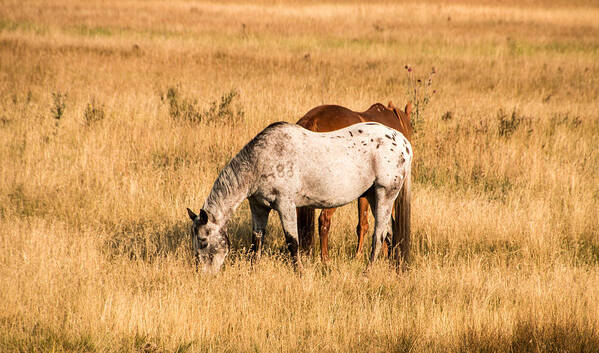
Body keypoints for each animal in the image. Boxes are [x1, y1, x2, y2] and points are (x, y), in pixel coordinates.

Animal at [188, 121, 412, 272]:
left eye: (203, 241)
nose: (204, 274)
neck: (261, 160)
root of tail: (403, 143)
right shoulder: (259, 207)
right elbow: (257, 240)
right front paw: (253, 270)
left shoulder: (285, 205)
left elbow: (292, 242)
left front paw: (300, 273)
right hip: (374, 197)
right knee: (390, 233)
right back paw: (393, 269)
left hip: (385, 194)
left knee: (379, 235)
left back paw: (368, 272)